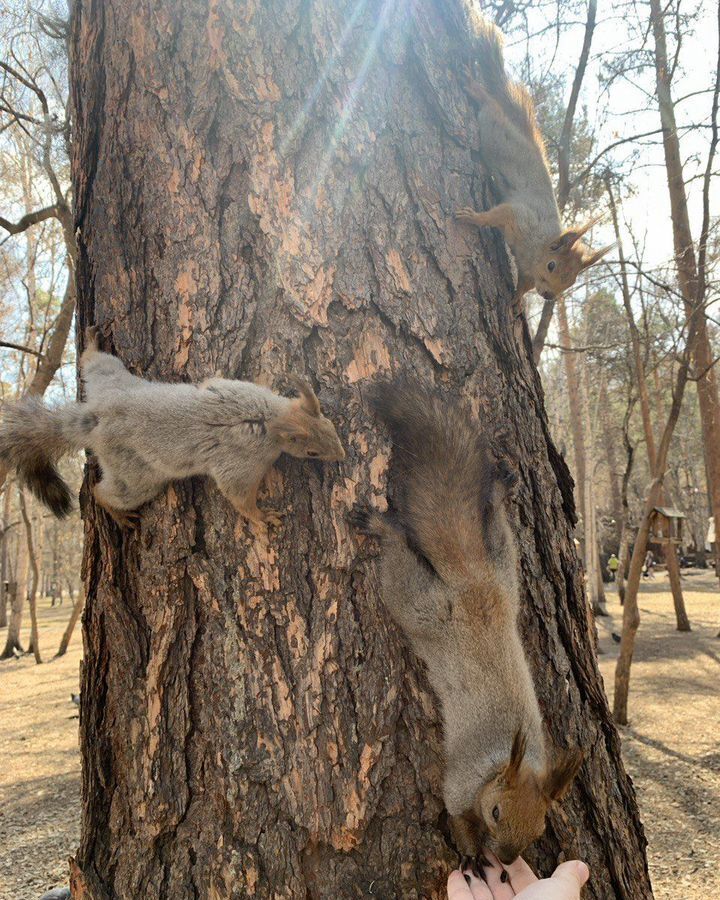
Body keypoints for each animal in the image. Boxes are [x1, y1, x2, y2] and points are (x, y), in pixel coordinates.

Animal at [0, 326, 346, 528]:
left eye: (330, 424)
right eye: (312, 453)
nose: (341, 455)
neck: (270, 418)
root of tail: (96, 417)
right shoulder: (241, 461)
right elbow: (237, 494)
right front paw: (261, 518)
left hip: (112, 378)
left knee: (96, 364)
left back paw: (93, 343)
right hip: (135, 475)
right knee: (106, 492)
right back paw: (116, 511)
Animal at [352, 382, 584, 872]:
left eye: (540, 830)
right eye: (496, 812)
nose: (507, 858)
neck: (505, 763)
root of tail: (473, 583)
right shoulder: (460, 783)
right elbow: (456, 816)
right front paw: (474, 856)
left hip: (506, 571)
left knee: (496, 526)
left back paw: (499, 489)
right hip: (422, 607)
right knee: (400, 566)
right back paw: (381, 527)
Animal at [452, 15, 612, 302]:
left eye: (572, 280)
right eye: (551, 265)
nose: (549, 296)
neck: (537, 248)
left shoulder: (528, 269)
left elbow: (524, 284)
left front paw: (516, 300)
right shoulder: (520, 217)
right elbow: (495, 216)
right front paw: (472, 217)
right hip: (492, 127)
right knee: (489, 103)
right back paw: (473, 88)